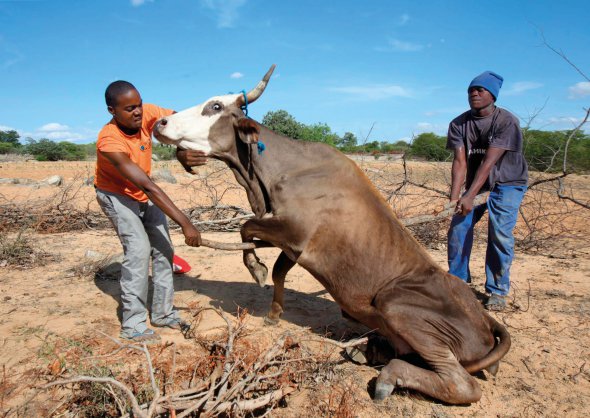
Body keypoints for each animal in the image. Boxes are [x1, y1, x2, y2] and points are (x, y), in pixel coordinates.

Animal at [155, 66, 512, 404]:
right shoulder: (293, 244)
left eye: (215, 106)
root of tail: (485, 320)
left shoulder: (294, 230)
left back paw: (389, 376)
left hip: (396, 305)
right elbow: (278, 269)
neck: (272, 175)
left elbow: (247, 229)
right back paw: (366, 350)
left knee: (460, 384)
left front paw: (255, 269)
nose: (160, 122)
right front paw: (273, 312)